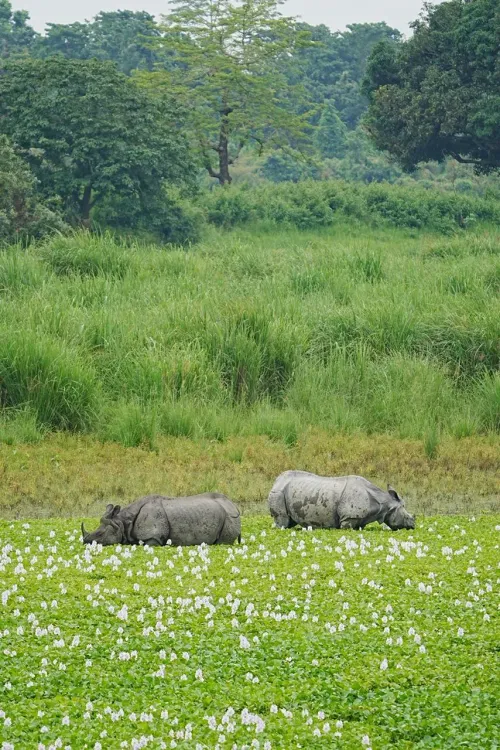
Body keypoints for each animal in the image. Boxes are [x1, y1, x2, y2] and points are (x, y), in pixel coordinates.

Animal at [81, 493, 241, 547]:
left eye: (100, 534)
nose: (85, 542)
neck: (123, 521)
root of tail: (233, 504)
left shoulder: (154, 537)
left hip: (229, 517)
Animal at [268, 471, 415, 531]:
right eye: (407, 516)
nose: (413, 525)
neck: (384, 503)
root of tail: (276, 480)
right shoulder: (348, 518)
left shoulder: (360, 518)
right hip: (278, 492)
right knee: (282, 521)